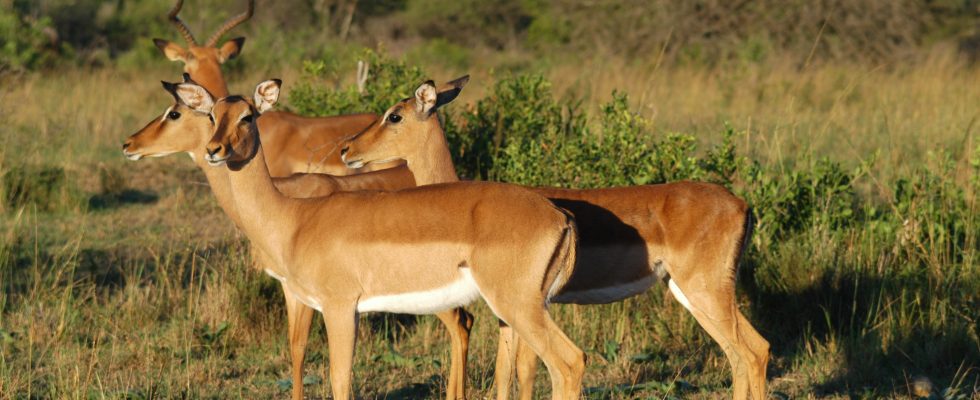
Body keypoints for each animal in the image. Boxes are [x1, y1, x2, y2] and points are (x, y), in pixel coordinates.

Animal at [122, 76, 490, 400]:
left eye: (174, 113)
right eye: (213, 115)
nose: (128, 144)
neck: (288, 212)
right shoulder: (297, 292)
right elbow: (296, 349)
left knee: (462, 323)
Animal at [170, 79, 580, 400]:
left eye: (248, 116)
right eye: (212, 116)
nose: (214, 151)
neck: (295, 219)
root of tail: (561, 217)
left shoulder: (338, 308)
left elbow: (339, 381)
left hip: (519, 308)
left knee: (570, 363)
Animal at [340, 76, 768, 398]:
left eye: (394, 115)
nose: (346, 149)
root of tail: (742, 205)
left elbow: (524, 372)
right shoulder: (508, 318)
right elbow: (505, 374)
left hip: (704, 291)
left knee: (751, 352)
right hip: (693, 293)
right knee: (746, 352)